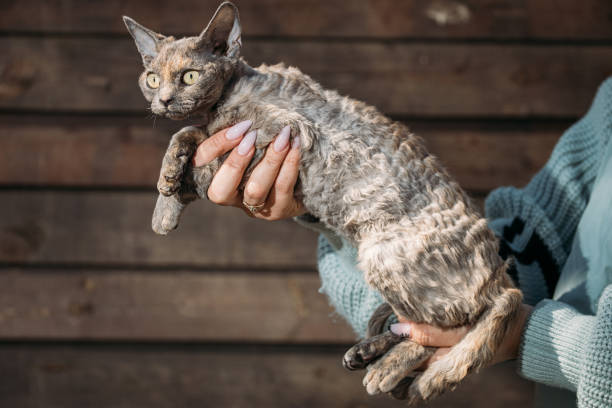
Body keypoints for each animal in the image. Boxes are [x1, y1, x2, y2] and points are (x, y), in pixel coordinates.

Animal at [123, 2, 520, 404]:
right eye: (151, 79)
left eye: (189, 76)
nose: (164, 100)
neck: (232, 92)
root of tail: (501, 278)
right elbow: (193, 135)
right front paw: (165, 203)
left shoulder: (287, 131)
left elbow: (199, 143)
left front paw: (175, 183)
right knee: (416, 323)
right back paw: (367, 352)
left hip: (383, 254)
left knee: (444, 329)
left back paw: (386, 370)